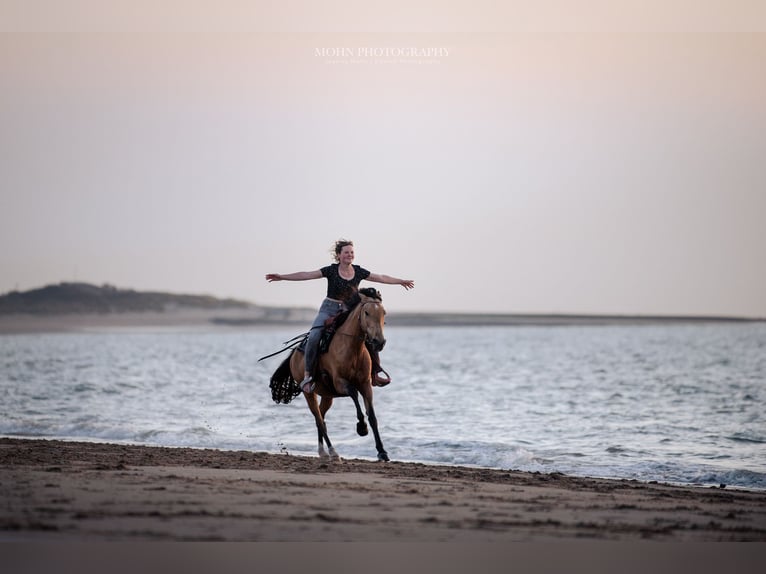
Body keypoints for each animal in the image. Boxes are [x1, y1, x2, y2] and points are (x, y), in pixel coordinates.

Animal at [268, 292, 390, 464]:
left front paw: (382, 452)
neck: (352, 349)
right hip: (309, 393)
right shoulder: (339, 382)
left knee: (322, 417)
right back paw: (333, 452)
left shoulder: (365, 385)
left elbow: (372, 416)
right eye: (366, 313)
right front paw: (361, 427)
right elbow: (354, 394)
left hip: (327, 396)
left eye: (383, 313)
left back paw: (323, 452)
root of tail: (294, 354)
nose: (379, 342)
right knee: (319, 419)